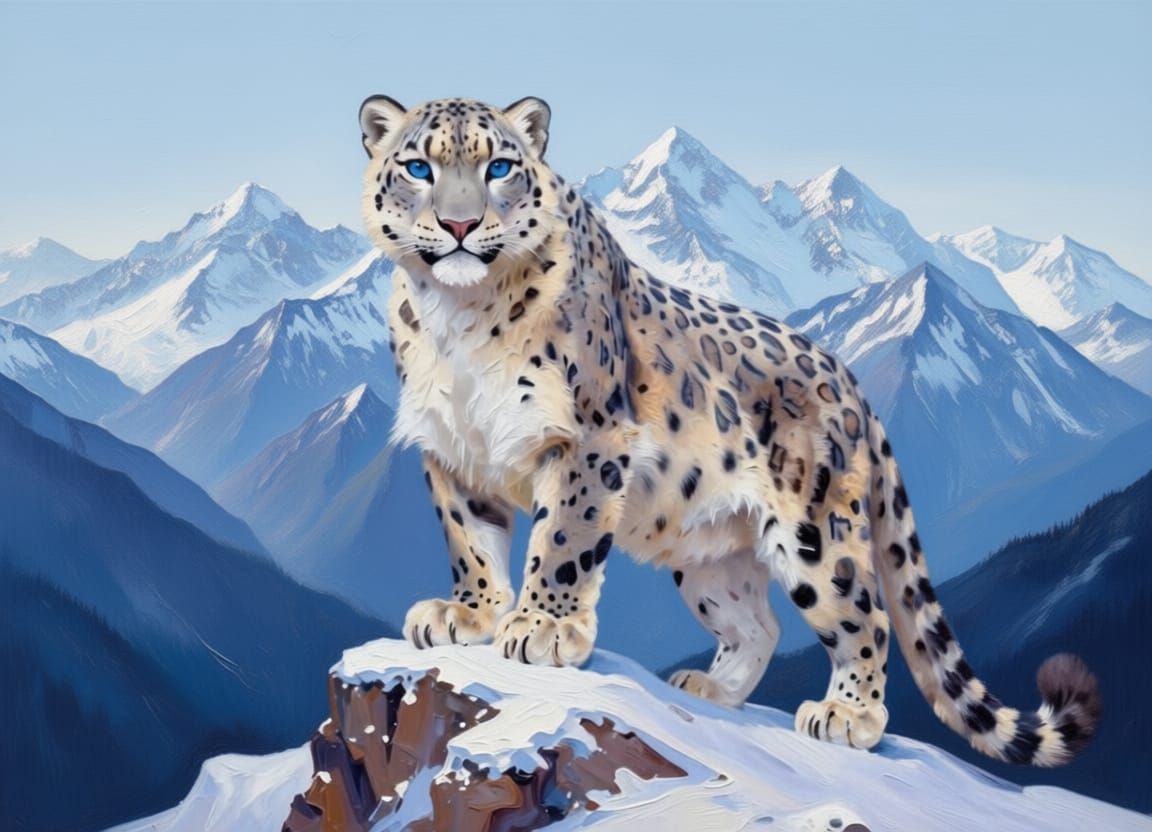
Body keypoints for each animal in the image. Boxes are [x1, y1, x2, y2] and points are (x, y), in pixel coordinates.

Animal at [358, 94, 1100, 766]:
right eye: (420, 168)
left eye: (501, 167)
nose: (459, 223)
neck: (459, 316)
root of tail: (850, 382)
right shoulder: (454, 446)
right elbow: (470, 539)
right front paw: (467, 614)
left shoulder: (588, 439)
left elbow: (564, 536)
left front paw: (543, 627)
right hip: (710, 556)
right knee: (758, 622)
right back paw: (710, 688)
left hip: (815, 533)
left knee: (866, 615)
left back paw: (847, 716)